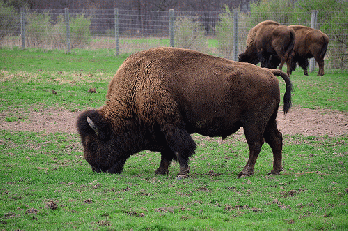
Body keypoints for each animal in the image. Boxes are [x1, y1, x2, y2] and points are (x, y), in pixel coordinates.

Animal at [77, 47, 292, 179]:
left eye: (93, 144)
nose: (95, 168)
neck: (138, 86)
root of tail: (269, 73)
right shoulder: (162, 129)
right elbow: (166, 151)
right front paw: (160, 171)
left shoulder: (171, 125)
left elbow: (180, 148)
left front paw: (182, 173)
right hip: (269, 121)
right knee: (276, 140)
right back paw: (275, 171)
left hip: (253, 123)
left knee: (255, 144)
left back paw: (245, 172)